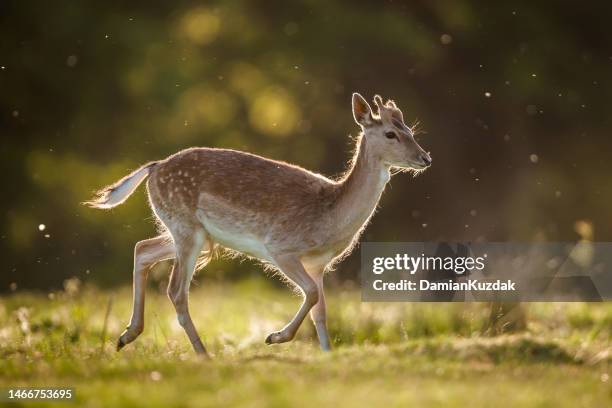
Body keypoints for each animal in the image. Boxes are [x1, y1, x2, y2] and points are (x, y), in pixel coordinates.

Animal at [85, 93, 430, 354]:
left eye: (411, 130)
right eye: (390, 133)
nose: (425, 158)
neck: (328, 217)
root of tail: (153, 168)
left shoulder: (318, 264)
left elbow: (321, 312)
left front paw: (327, 355)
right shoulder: (281, 247)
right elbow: (310, 295)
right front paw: (276, 337)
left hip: (193, 234)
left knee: (142, 249)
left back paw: (126, 336)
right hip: (186, 228)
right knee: (176, 290)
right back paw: (203, 354)